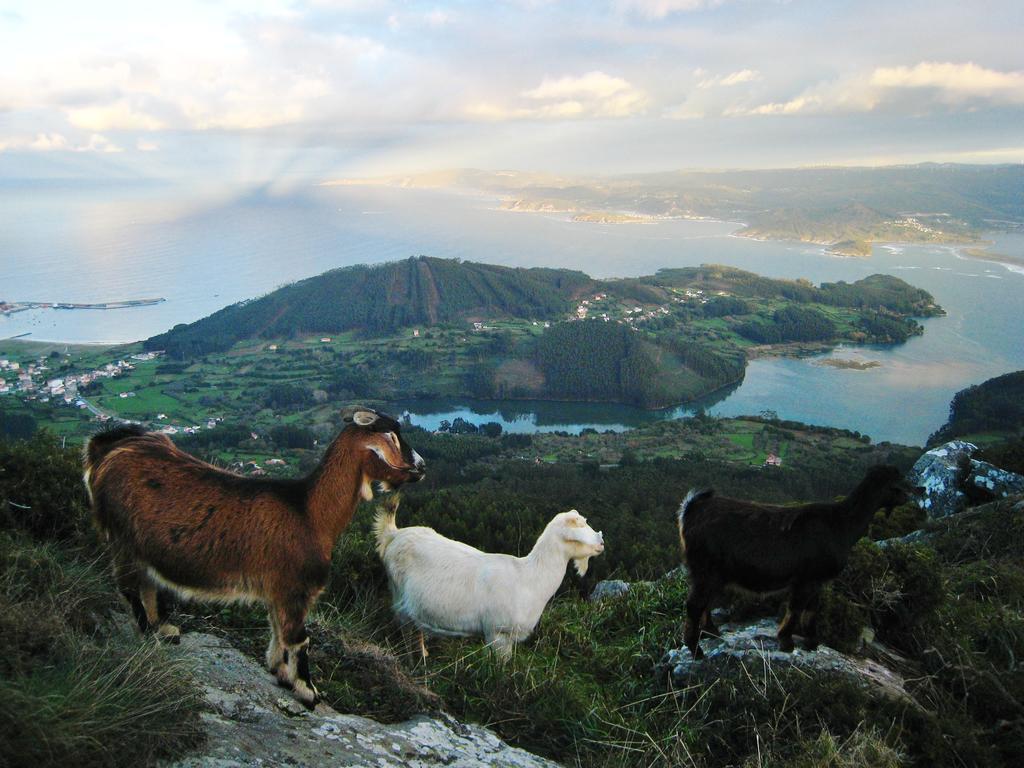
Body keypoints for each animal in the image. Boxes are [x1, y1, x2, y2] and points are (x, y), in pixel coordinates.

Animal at [83, 409, 423, 708]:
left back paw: (165, 629)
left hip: (141, 546)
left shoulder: (278, 590)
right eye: (391, 435)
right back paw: (148, 634)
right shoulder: (294, 589)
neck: (309, 513)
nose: (420, 465)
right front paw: (308, 691)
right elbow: (299, 639)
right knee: (129, 586)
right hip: (122, 538)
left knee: (147, 583)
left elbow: (277, 629)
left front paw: (279, 671)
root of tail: (107, 449)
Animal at [374, 499, 598, 663]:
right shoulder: (498, 633)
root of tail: (393, 534)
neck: (528, 578)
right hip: (399, 599)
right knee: (407, 632)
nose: (601, 543)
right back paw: (413, 661)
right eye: (581, 525)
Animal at [675, 466, 917, 659]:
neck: (841, 524)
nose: (919, 492)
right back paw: (696, 651)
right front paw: (786, 642)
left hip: (713, 575)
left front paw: (811, 643)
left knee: (705, 603)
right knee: (694, 605)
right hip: (706, 570)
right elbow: (797, 608)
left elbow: (812, 609)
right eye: (897, 484)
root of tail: (691, 510)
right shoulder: (806, 578)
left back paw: (712, 633)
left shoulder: (818, 580)